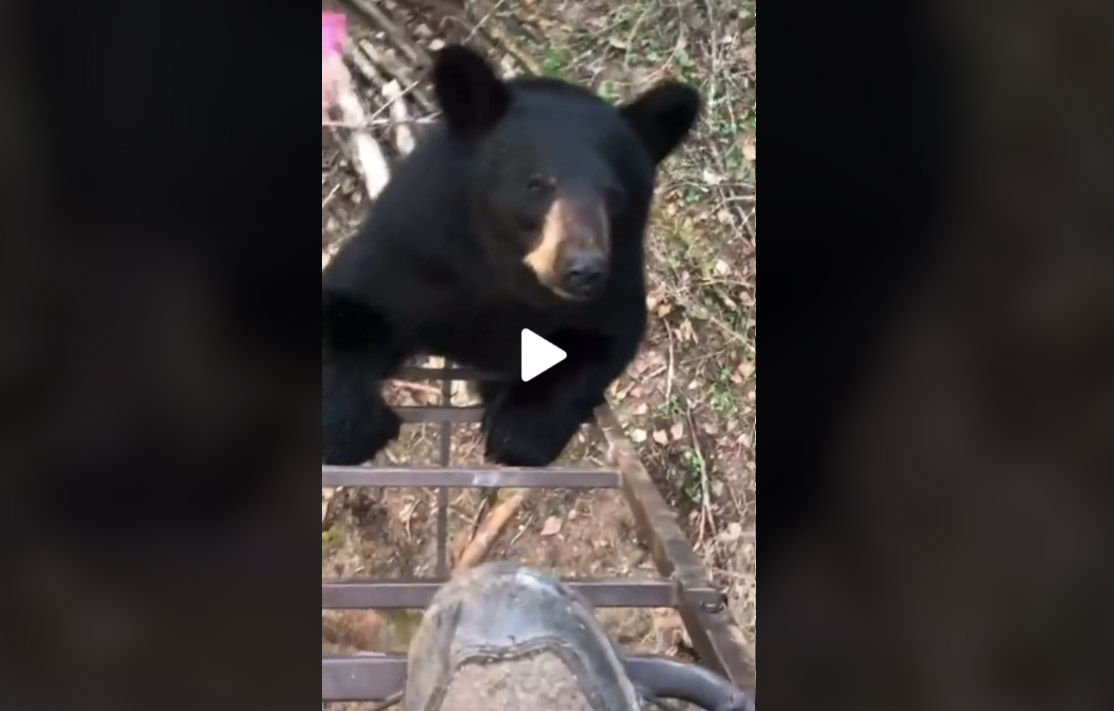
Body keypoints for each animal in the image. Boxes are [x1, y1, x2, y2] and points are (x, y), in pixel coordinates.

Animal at [323, 44, 699, 468]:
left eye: (614, 195)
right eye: (536, 185)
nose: (584, 270)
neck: (508, 271)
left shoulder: (618, 275)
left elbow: (601, 338)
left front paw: (520, 430)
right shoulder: (417, 243)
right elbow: (353, 300)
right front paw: (353, 428)